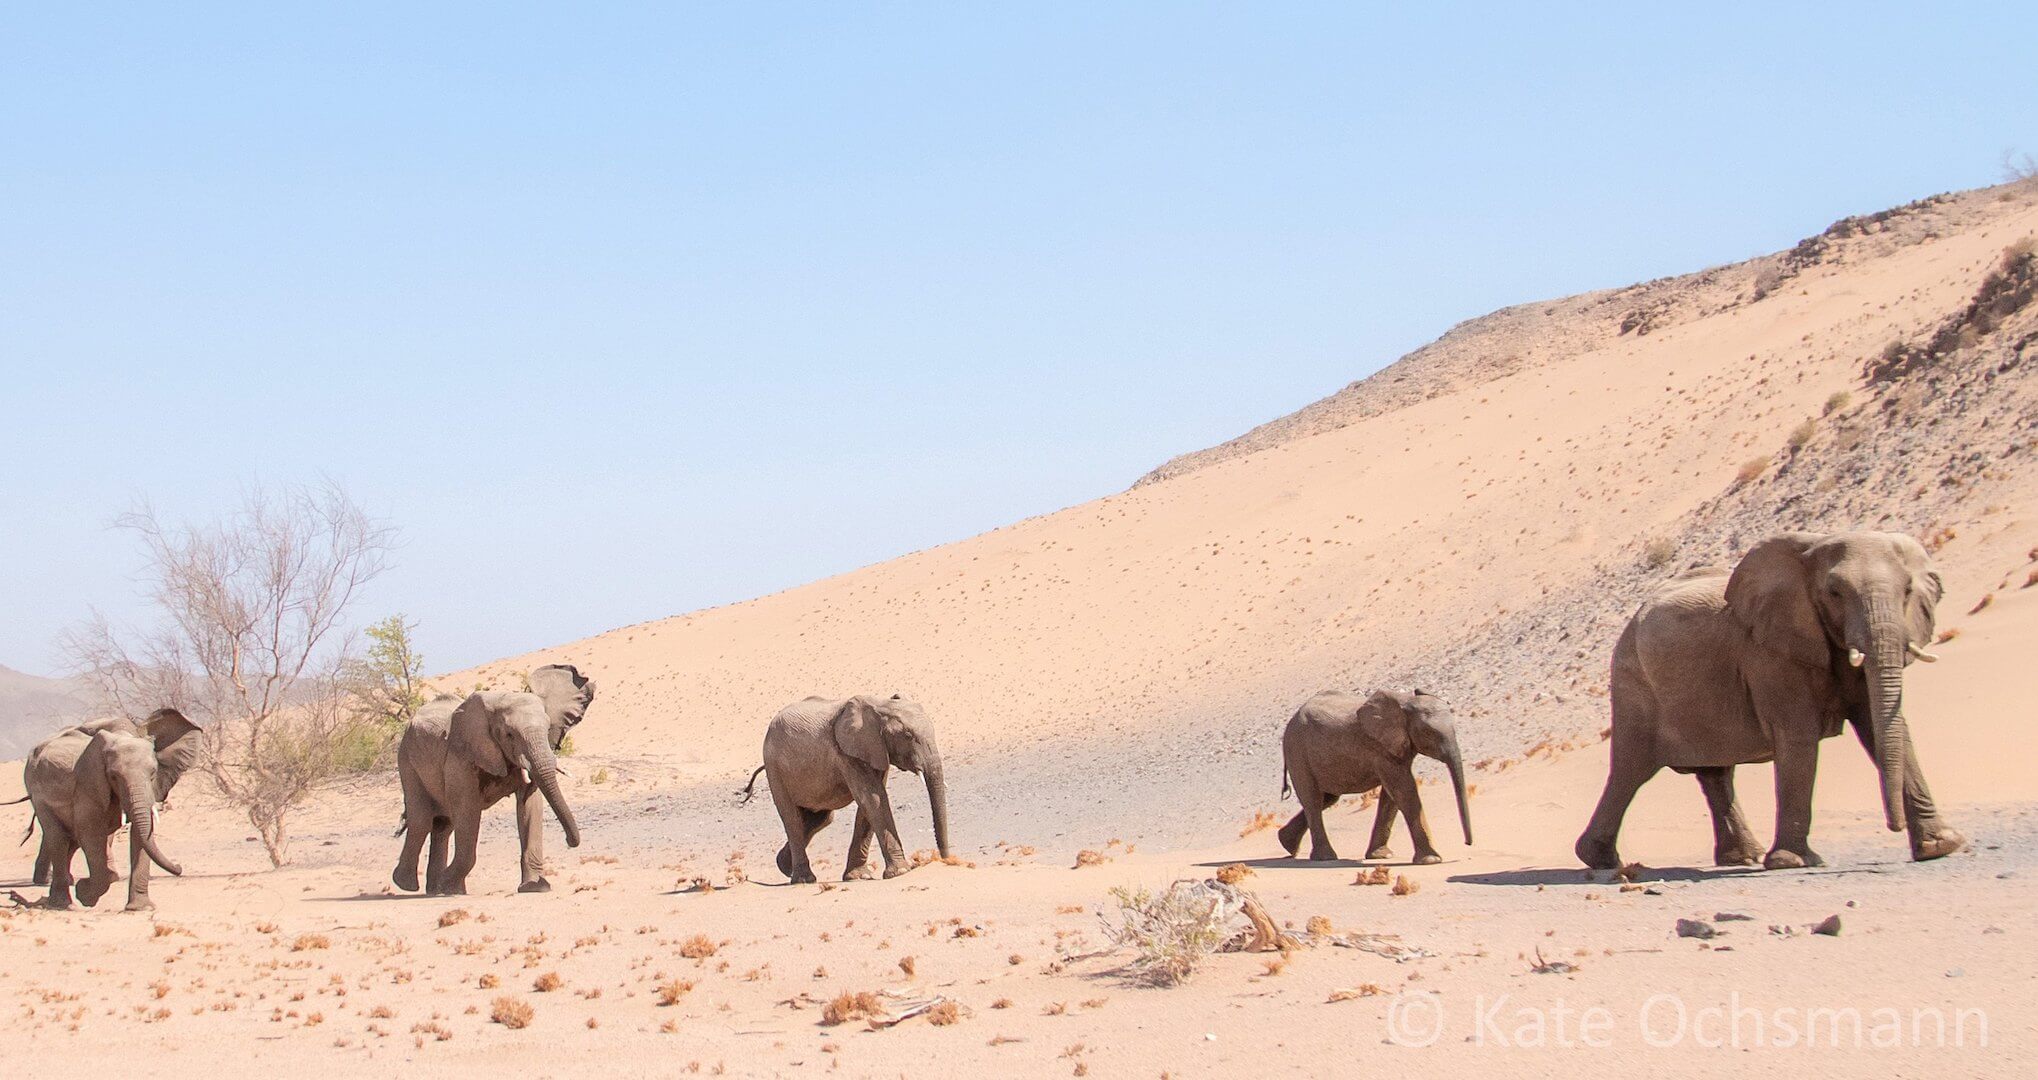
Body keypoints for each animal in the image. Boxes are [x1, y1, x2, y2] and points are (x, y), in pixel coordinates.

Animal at [17, 709, 202, 911]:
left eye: (153, 772)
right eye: (113, 776)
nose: (179, 867)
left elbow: (140, 835)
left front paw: (140, 908)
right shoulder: (89, 784)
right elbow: (91, 834)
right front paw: (84, 894)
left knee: (71, 840)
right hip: (38, 797)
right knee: (57, 837)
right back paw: (63, 904)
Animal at [392, 664, 593, 896]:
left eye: (548, 727)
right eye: (509, 735)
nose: (569, 842)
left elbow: (529, 805)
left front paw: (535, 887)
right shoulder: (461, 758)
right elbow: (467, 810)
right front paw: (448, 884)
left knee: (443, 825)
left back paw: (437, 890)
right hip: (406, 760)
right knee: (422, 820)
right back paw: (407, 885)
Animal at [744, 694, 952, 884]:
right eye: (908, 736)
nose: (946, 859)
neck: (880, 705)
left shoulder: (875, 752)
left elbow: (869, 803)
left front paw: (859, 877)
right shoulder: (847, 753)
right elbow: (873, 799)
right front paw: (901, 872)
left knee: (821, 819)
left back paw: (784, 867)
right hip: (775, 769)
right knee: (791, 818)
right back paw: (804, 880)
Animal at [1276, 689, 1473, 863]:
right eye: (1428, 733)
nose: (1467, 843)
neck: (1405, 702)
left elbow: (1392, 796)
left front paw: (1381, 856)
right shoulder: (1380, 749)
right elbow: (1404, 791)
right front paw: (1431, 860)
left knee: (1328, 799)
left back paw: (1286, 844)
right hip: (1297, 752)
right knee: (1313, 800)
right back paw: (1325, 858)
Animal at [1576, 531, 1967, 871]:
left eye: (1907, 591)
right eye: (1834, 592)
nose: (1893, 827)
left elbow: (1880, 727)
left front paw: (1940, 846)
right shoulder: (1769, 655)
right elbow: (1799, 737)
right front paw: (1792, 862)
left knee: (1715, 773)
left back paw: (1742, 857)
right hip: (1633, 682)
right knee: (1632, 770)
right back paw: (1601, 860)